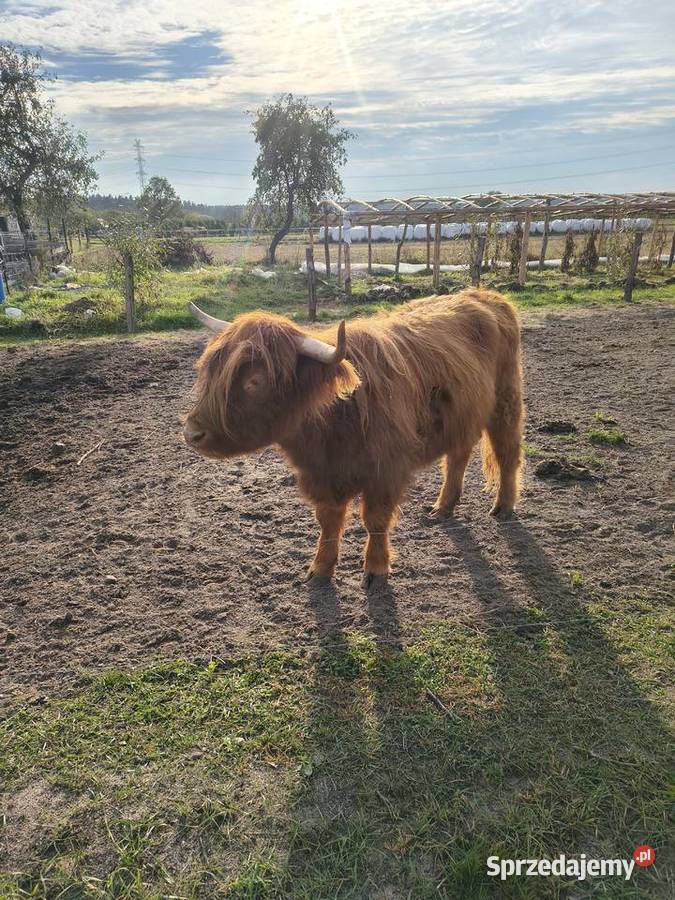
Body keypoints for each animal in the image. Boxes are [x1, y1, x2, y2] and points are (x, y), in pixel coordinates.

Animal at [183, 289, 524, 583]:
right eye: (208, 372)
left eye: (254, 381)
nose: (191, 433)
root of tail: (484, 294)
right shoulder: (322, 476)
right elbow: (329, 522)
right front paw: (320, 568)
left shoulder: (385, 472)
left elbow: (375, 520)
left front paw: (376, 568)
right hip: (461, 416)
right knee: (457, 457)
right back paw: (443, 506)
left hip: (506, 401)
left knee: (507, 453)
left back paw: (503, 506)